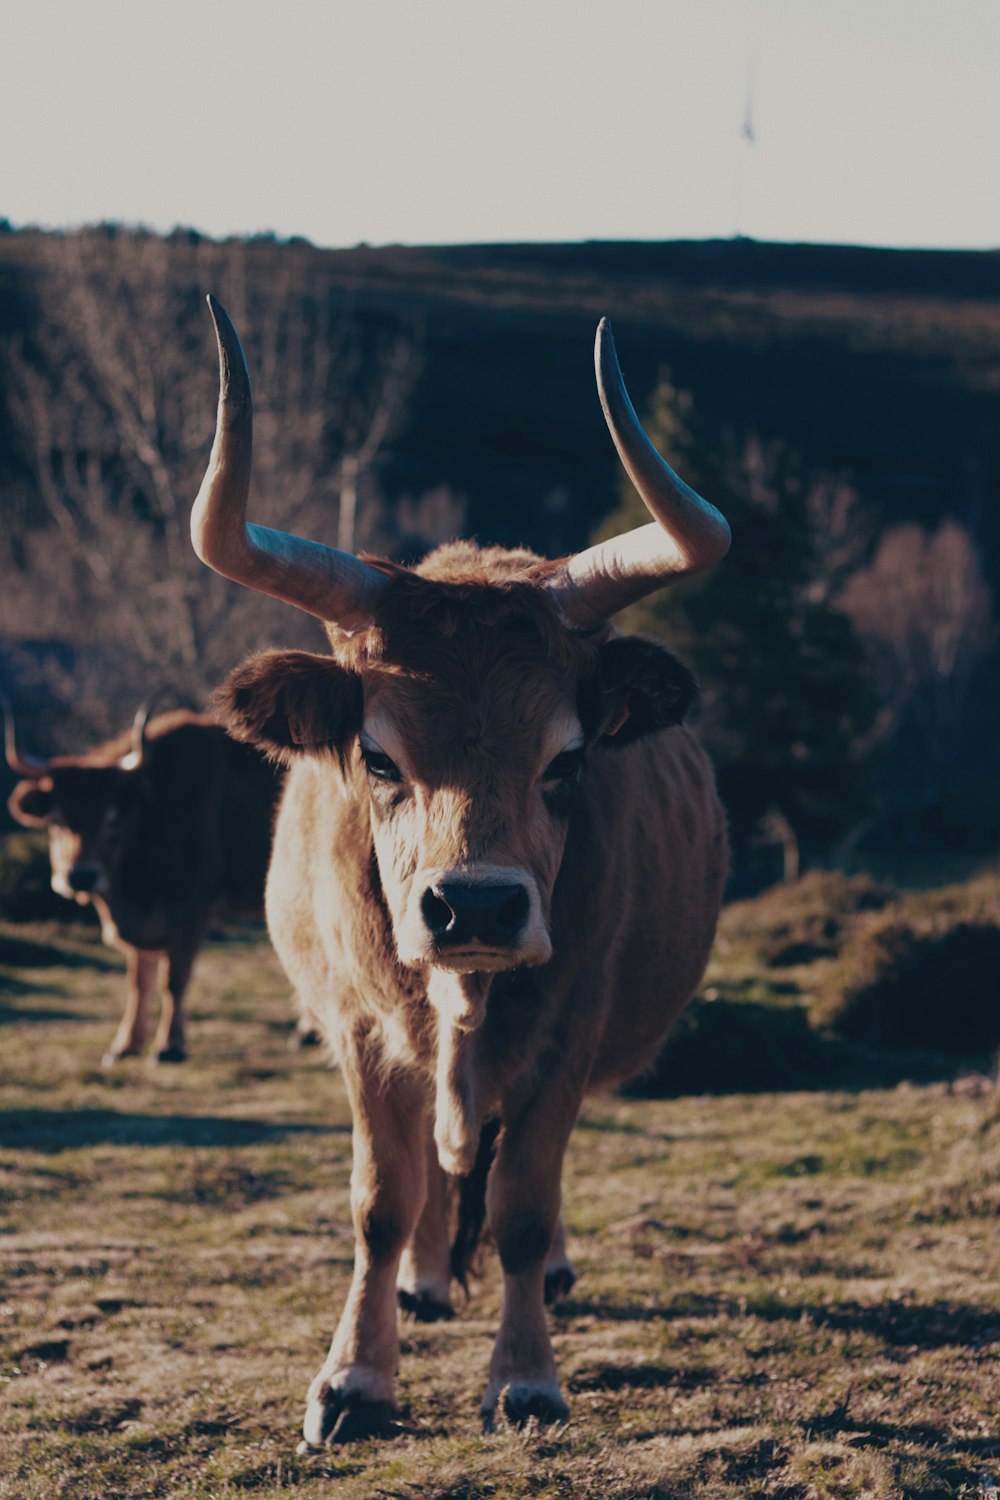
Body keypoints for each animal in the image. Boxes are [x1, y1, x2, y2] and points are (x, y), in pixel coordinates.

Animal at [5, 696, 283, 1062]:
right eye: (57, 820)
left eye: (113, 820)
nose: (81, 876)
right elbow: (139, 982)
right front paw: (126, 1044)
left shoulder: (189, 908)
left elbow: (173, 979)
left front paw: (169, 1045)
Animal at [191, 298, 731, 1446]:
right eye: (378, 756)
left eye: (566, 760)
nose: (473, 904)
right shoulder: (359, 1028)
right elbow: (381, 1202)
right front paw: (354, 1378)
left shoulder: (569, 1025)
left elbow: (523, 1203)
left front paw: (524, 1376)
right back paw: (426, 1281)